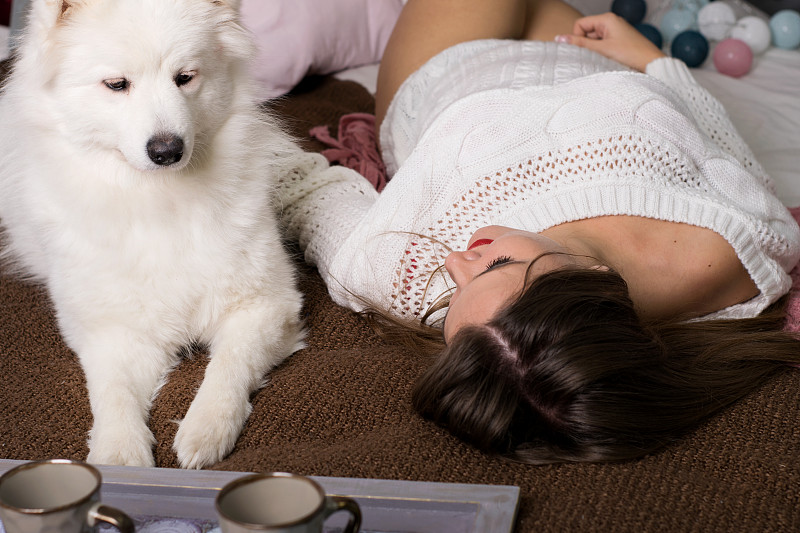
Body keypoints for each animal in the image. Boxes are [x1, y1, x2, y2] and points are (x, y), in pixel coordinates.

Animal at [0, 0, 332, 466]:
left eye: (185, 77)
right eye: (116, 84)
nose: (167, 150)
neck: (159, 200)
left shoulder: (266, 306)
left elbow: (227, 368)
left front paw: (206, 429)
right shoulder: (113, 335)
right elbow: (113, 394)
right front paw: (119, 453)